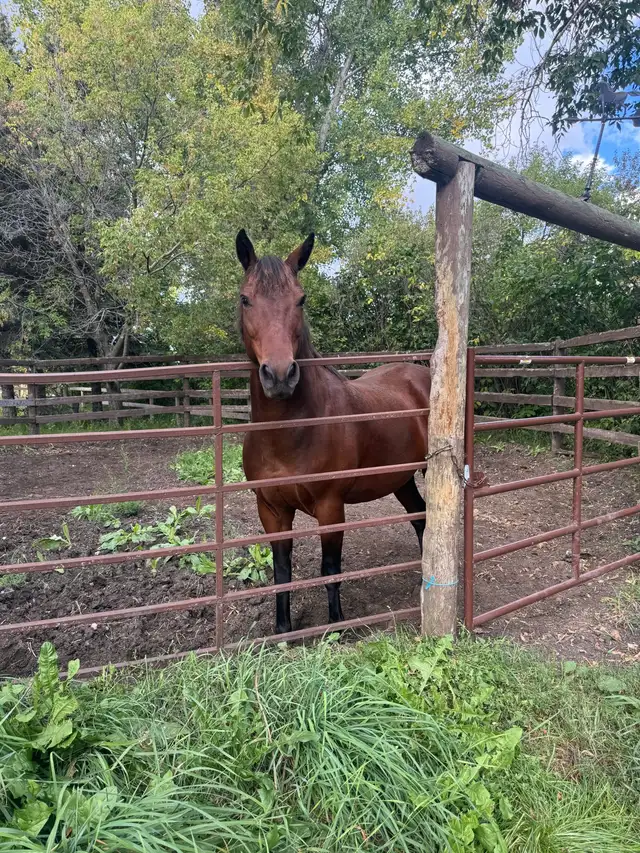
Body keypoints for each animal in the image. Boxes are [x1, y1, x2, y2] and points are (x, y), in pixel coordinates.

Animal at [236, 230, 431, 635]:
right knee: (420, 516)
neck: (290, 434)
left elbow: (330, 567)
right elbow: (282, 571)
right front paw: (283, 630)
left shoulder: (330, 507)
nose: (280, 375)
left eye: (301, 299)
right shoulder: (271, 510)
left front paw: (337, 626)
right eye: (246, 299)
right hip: (401, 478)